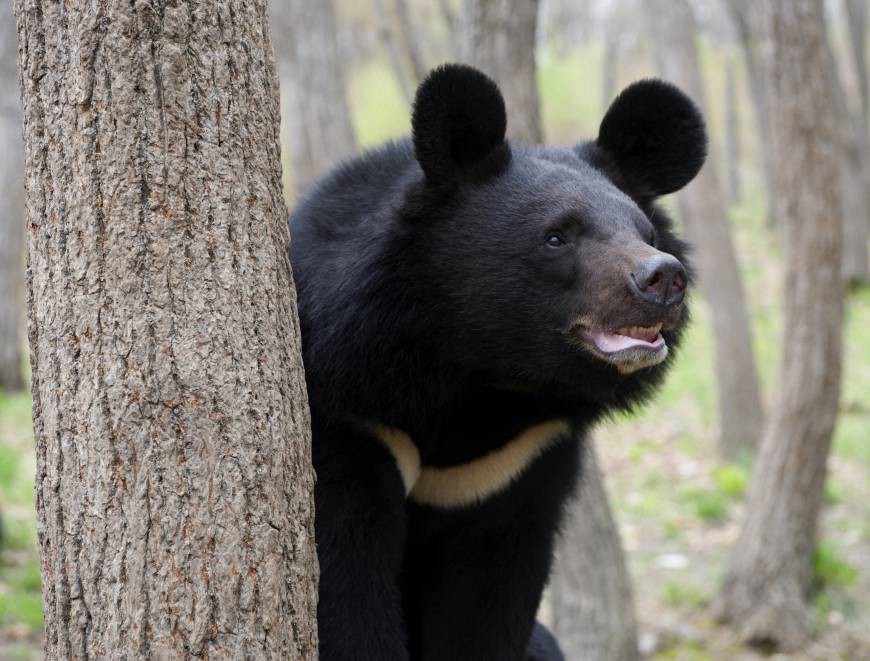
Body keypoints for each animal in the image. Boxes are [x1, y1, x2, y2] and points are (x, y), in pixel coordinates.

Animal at [288, 63, 705, 661]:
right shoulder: (353, 419)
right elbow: (346, 582)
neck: (488, 376)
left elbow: (491, 598)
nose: (663, 278)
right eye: (556, 237)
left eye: (645, 233)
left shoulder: (519, 462)